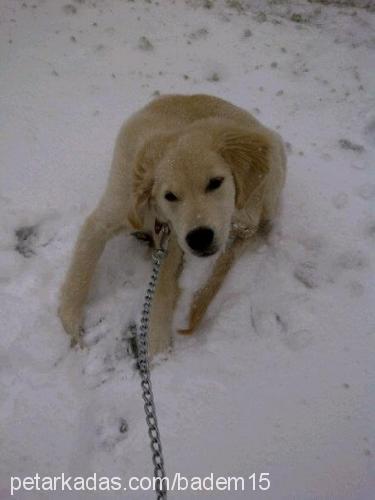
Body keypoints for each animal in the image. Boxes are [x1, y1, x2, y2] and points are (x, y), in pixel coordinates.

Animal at [59, 94, 288, 356]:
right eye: (170, 196)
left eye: (215, 182)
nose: (200, 238)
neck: (154, 213)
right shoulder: (108, 216)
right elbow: (81, 270)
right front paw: (72, 322)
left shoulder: (173, 242)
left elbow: (162, 288)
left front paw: (157, 348)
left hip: (257, 192)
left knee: (254, 228)